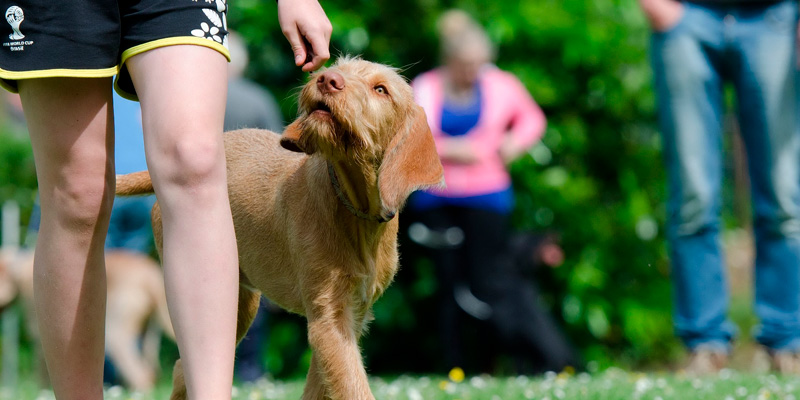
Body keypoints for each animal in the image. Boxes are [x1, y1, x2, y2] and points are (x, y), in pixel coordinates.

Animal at [116, 57, 446, 400]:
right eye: (339, 67)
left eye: (381, 89)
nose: (327, 79)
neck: (355, 211)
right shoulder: (329, 318)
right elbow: (353, 386)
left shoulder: (348, 317)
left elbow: (323, 384)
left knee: (184, 365)